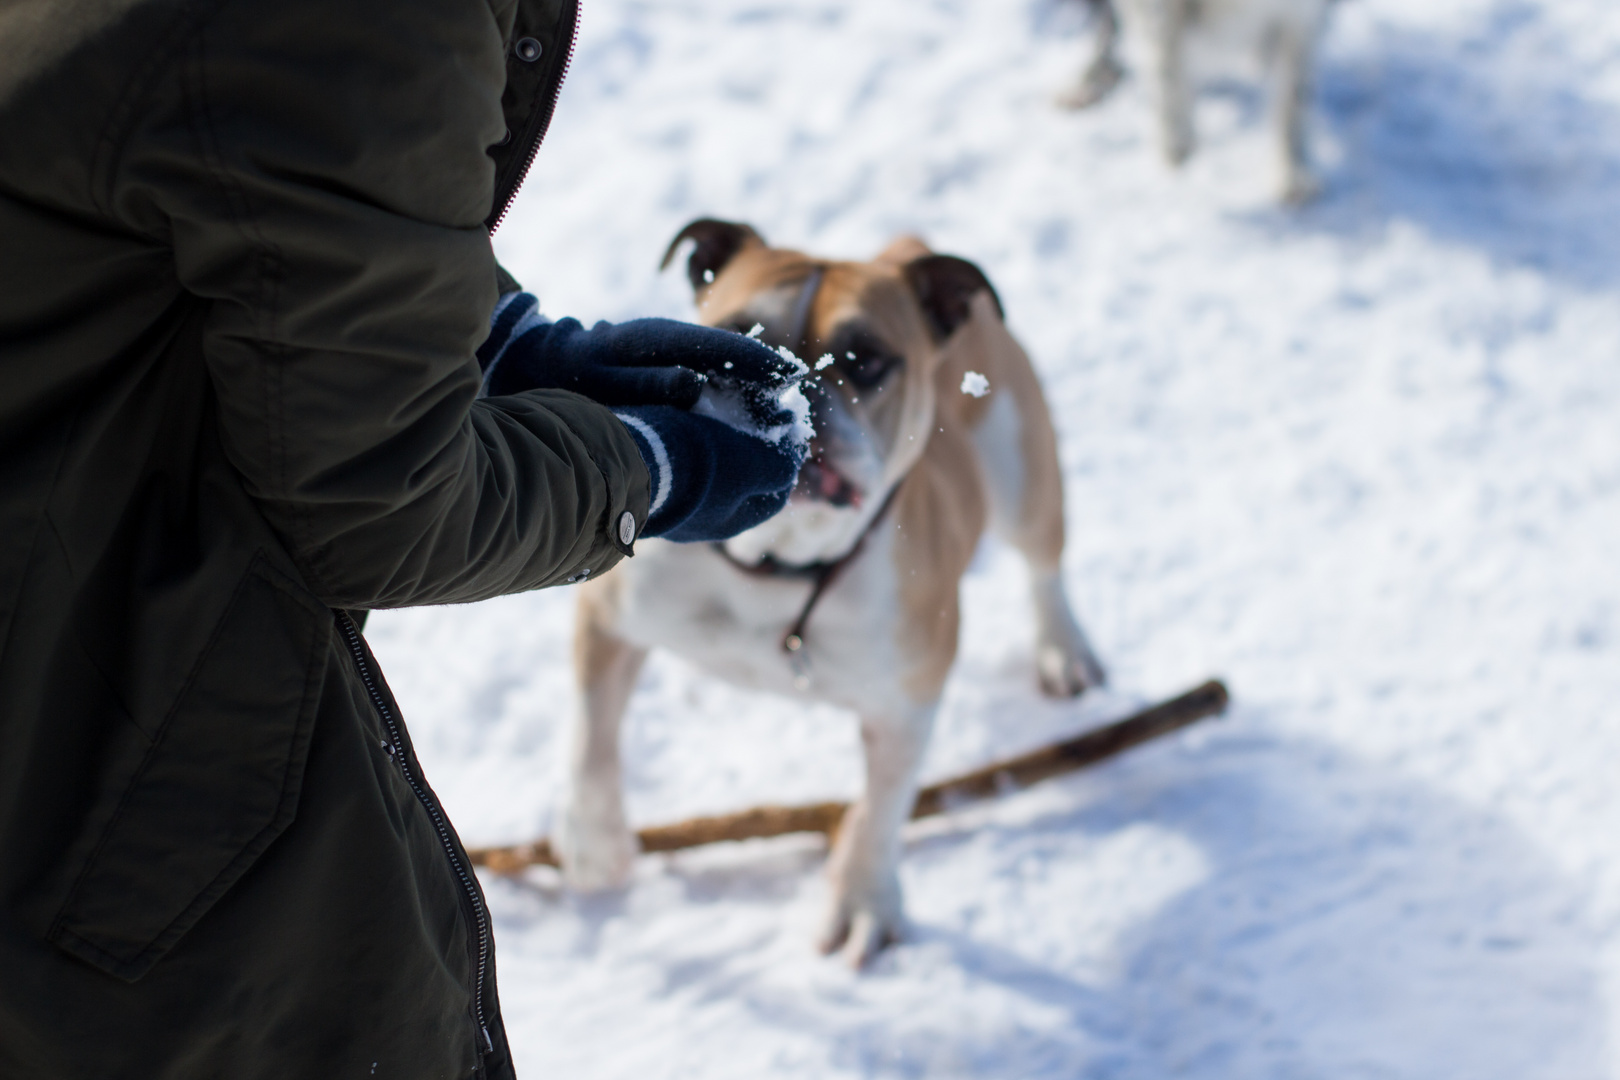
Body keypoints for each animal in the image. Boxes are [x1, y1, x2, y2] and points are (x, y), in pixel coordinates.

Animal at [554, 220, 1101, 965]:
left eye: (867, 360)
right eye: (737, 335)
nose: (796, 385)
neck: (774, 565)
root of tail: (907, 245)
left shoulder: (907, 704)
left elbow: (881, 810)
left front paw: (863, 900)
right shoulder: (610, 618)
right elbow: (593, 735)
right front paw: (595, 846)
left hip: (1021, 465)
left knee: (1044, 563)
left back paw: (1063, 650)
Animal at [1062, 0, 1328, 202]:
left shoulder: (1301, 18)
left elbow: (1293, 101)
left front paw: (1291, 174)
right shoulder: (1160, 13)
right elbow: (1166, 63)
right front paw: (1176, 140)